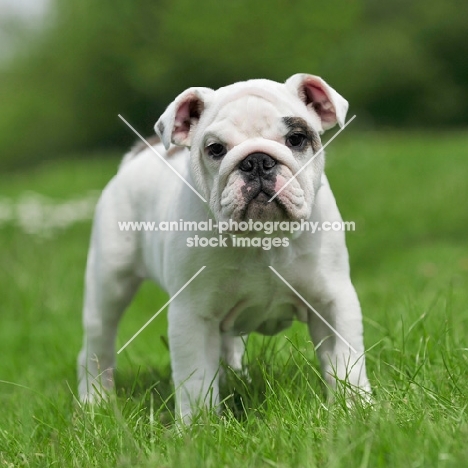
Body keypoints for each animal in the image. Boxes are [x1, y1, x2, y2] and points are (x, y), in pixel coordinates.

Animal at [78, 74, 372, 424]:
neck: (261, 238)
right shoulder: (192, 315)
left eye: (297, 139)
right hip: (109, 283)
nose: (257, 161)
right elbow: (195, 379)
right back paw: (94, 400)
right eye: (216, 149)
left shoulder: (332, 302)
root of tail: (138, 154)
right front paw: (198, 427)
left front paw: (356, 408)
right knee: (98, 343)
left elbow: (345, 360)